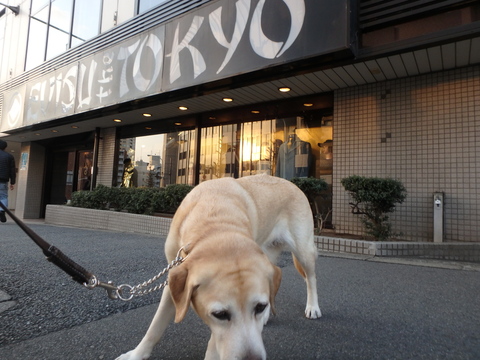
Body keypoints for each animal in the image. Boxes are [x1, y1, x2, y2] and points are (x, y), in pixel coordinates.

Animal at [116, 174, 320, 360]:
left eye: (259, 307)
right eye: (220, 314)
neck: (216, 222)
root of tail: (292, 183)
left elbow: (214, 342)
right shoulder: (172, 281)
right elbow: (155, 327)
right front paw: (136, 354)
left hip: (303, 249)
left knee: (311, 278)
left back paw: (312, 307)